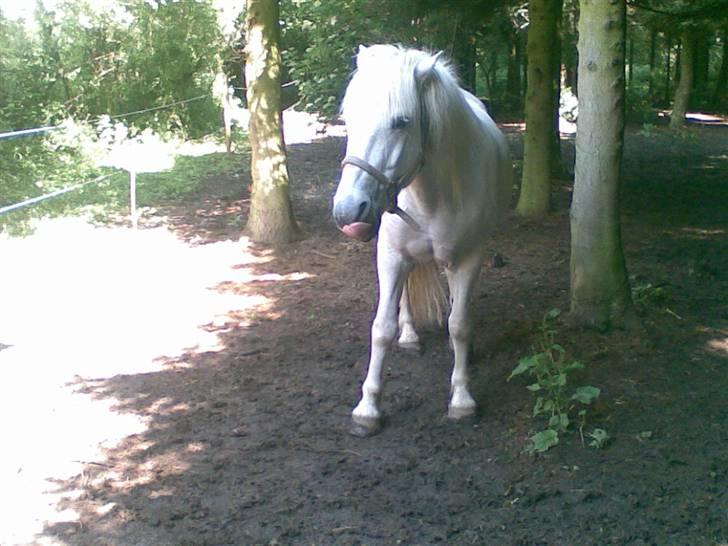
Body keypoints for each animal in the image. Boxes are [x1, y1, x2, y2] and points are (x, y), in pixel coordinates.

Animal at [332, 45, 512, 437]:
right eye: (348, 117)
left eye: (401, 122)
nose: (348, 210)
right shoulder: (391, 256)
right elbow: (381, 328)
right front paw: (368, 408)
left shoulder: (468, 258)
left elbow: (459, 325)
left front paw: (462, 399)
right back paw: (410, 335)